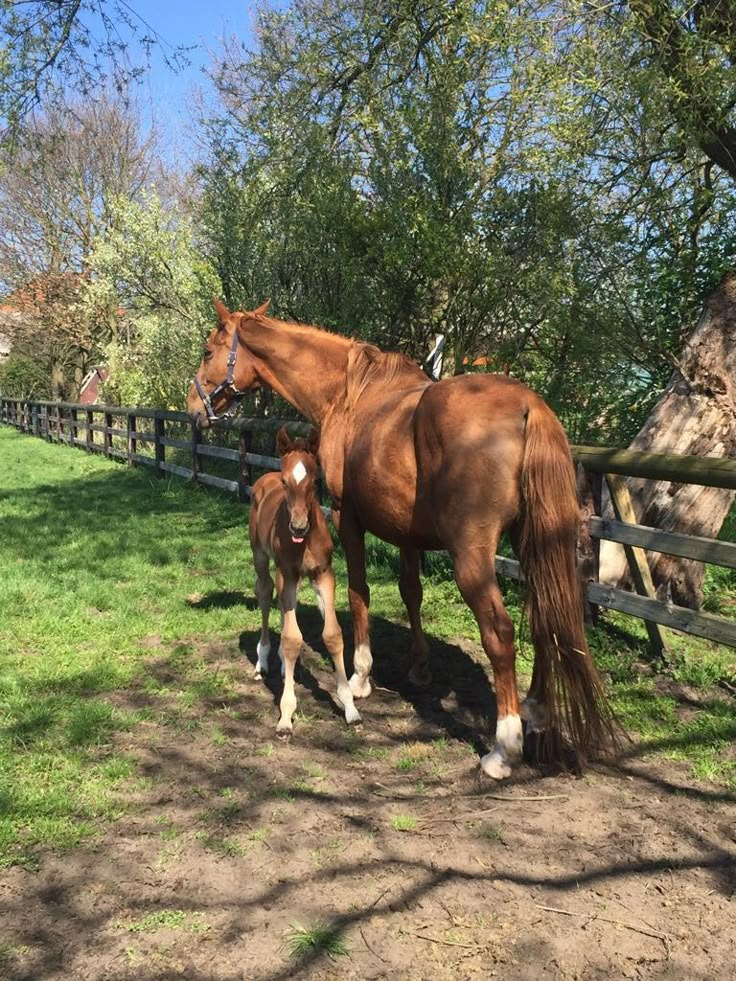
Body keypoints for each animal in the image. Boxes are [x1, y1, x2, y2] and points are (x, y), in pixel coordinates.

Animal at [249, 424, 360, 732]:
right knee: (265, 595)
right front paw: (286, 716)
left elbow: (332, 635)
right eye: (286, 483)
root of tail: (264, 477)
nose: (297, 527)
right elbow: (291, 639)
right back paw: (263, 660)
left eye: (314, 481)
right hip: (261, 558)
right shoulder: (286, 572)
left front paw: (350, 707)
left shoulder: (324, 575)